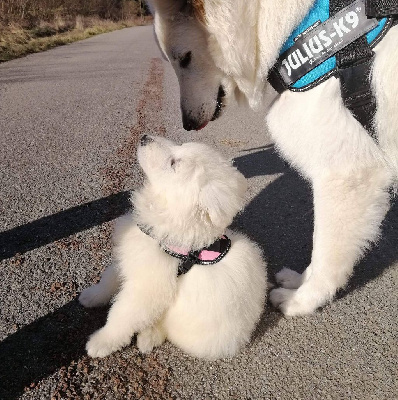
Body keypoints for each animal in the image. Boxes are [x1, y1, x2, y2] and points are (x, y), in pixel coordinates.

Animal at [79, 135, 268, 360]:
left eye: (174, 164)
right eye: (180, 145)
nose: (145, 137)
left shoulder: (147, 288)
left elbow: (121, 315)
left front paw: (101, 342)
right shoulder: (130, 260)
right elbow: (108, 279)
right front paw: (90, 296)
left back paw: (147, 337)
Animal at [147, 1, 398, 318]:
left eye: (185, 59)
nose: (188, 124)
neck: (298, 23)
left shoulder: (346, 176)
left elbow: (325, 253)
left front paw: (303, 300)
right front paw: (299, 282)